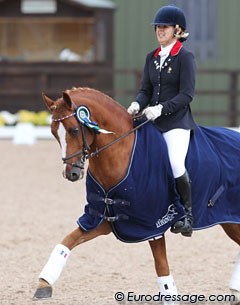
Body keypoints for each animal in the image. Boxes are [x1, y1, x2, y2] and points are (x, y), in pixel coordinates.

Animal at [34, 86, 240, 302]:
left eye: (74, 130)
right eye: (53, 133)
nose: (71, 173)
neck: (121, 151)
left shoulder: (152, 223)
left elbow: (161, 267)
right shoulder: (104, 218)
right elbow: (66, 242)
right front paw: (43, 285)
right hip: (229, 221)